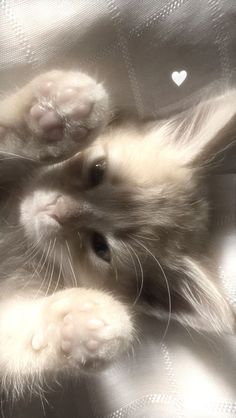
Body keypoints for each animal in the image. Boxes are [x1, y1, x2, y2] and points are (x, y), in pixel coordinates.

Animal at [0, 71, 234, 398]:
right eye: (97, 170)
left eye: (101, 247)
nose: (53, 210)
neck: (14, 230)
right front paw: (57, 111)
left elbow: (15, 341)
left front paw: (80, 322)